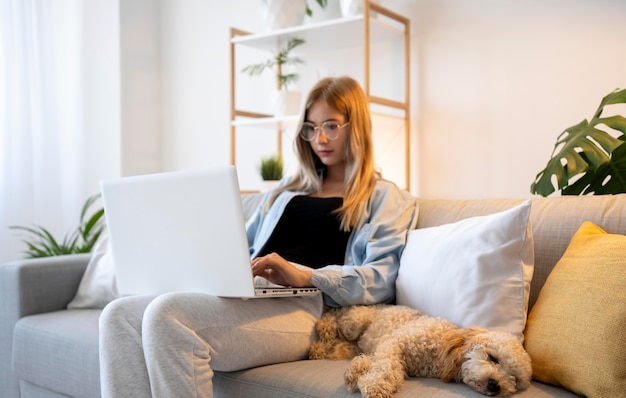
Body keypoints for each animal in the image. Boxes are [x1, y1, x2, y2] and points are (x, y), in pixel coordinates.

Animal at [310, 304, 528, 398]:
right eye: (493, 358)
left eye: (515, 379)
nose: (495, 385)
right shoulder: (395, 342)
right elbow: (386, 367)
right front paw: (375, 386)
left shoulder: (390, 350)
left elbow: (384, 365)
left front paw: (357, 370)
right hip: (354, 322)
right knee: (335, 316)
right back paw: (323, 332)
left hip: (354, 338)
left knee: (344, 344)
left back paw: (324, 349)